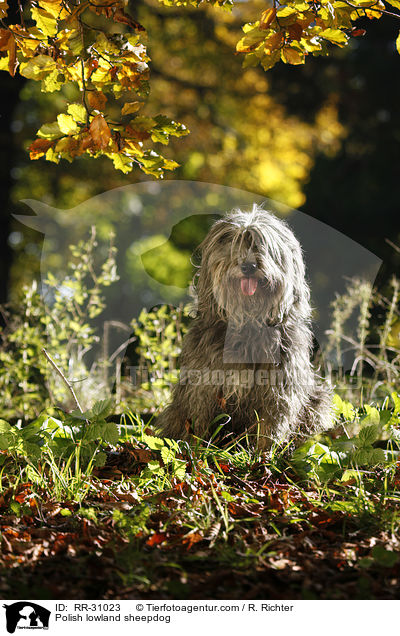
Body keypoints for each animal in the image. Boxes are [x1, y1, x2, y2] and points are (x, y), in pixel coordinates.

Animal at [158, 206, 332, 450]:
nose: (248, 266)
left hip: (318, 400)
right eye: (233, 243)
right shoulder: (203, 387)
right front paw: (197, 451)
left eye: (262, 245)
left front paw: (263, 456)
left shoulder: (279, 389)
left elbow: (270, 427)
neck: (248, 321)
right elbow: (200, 419)